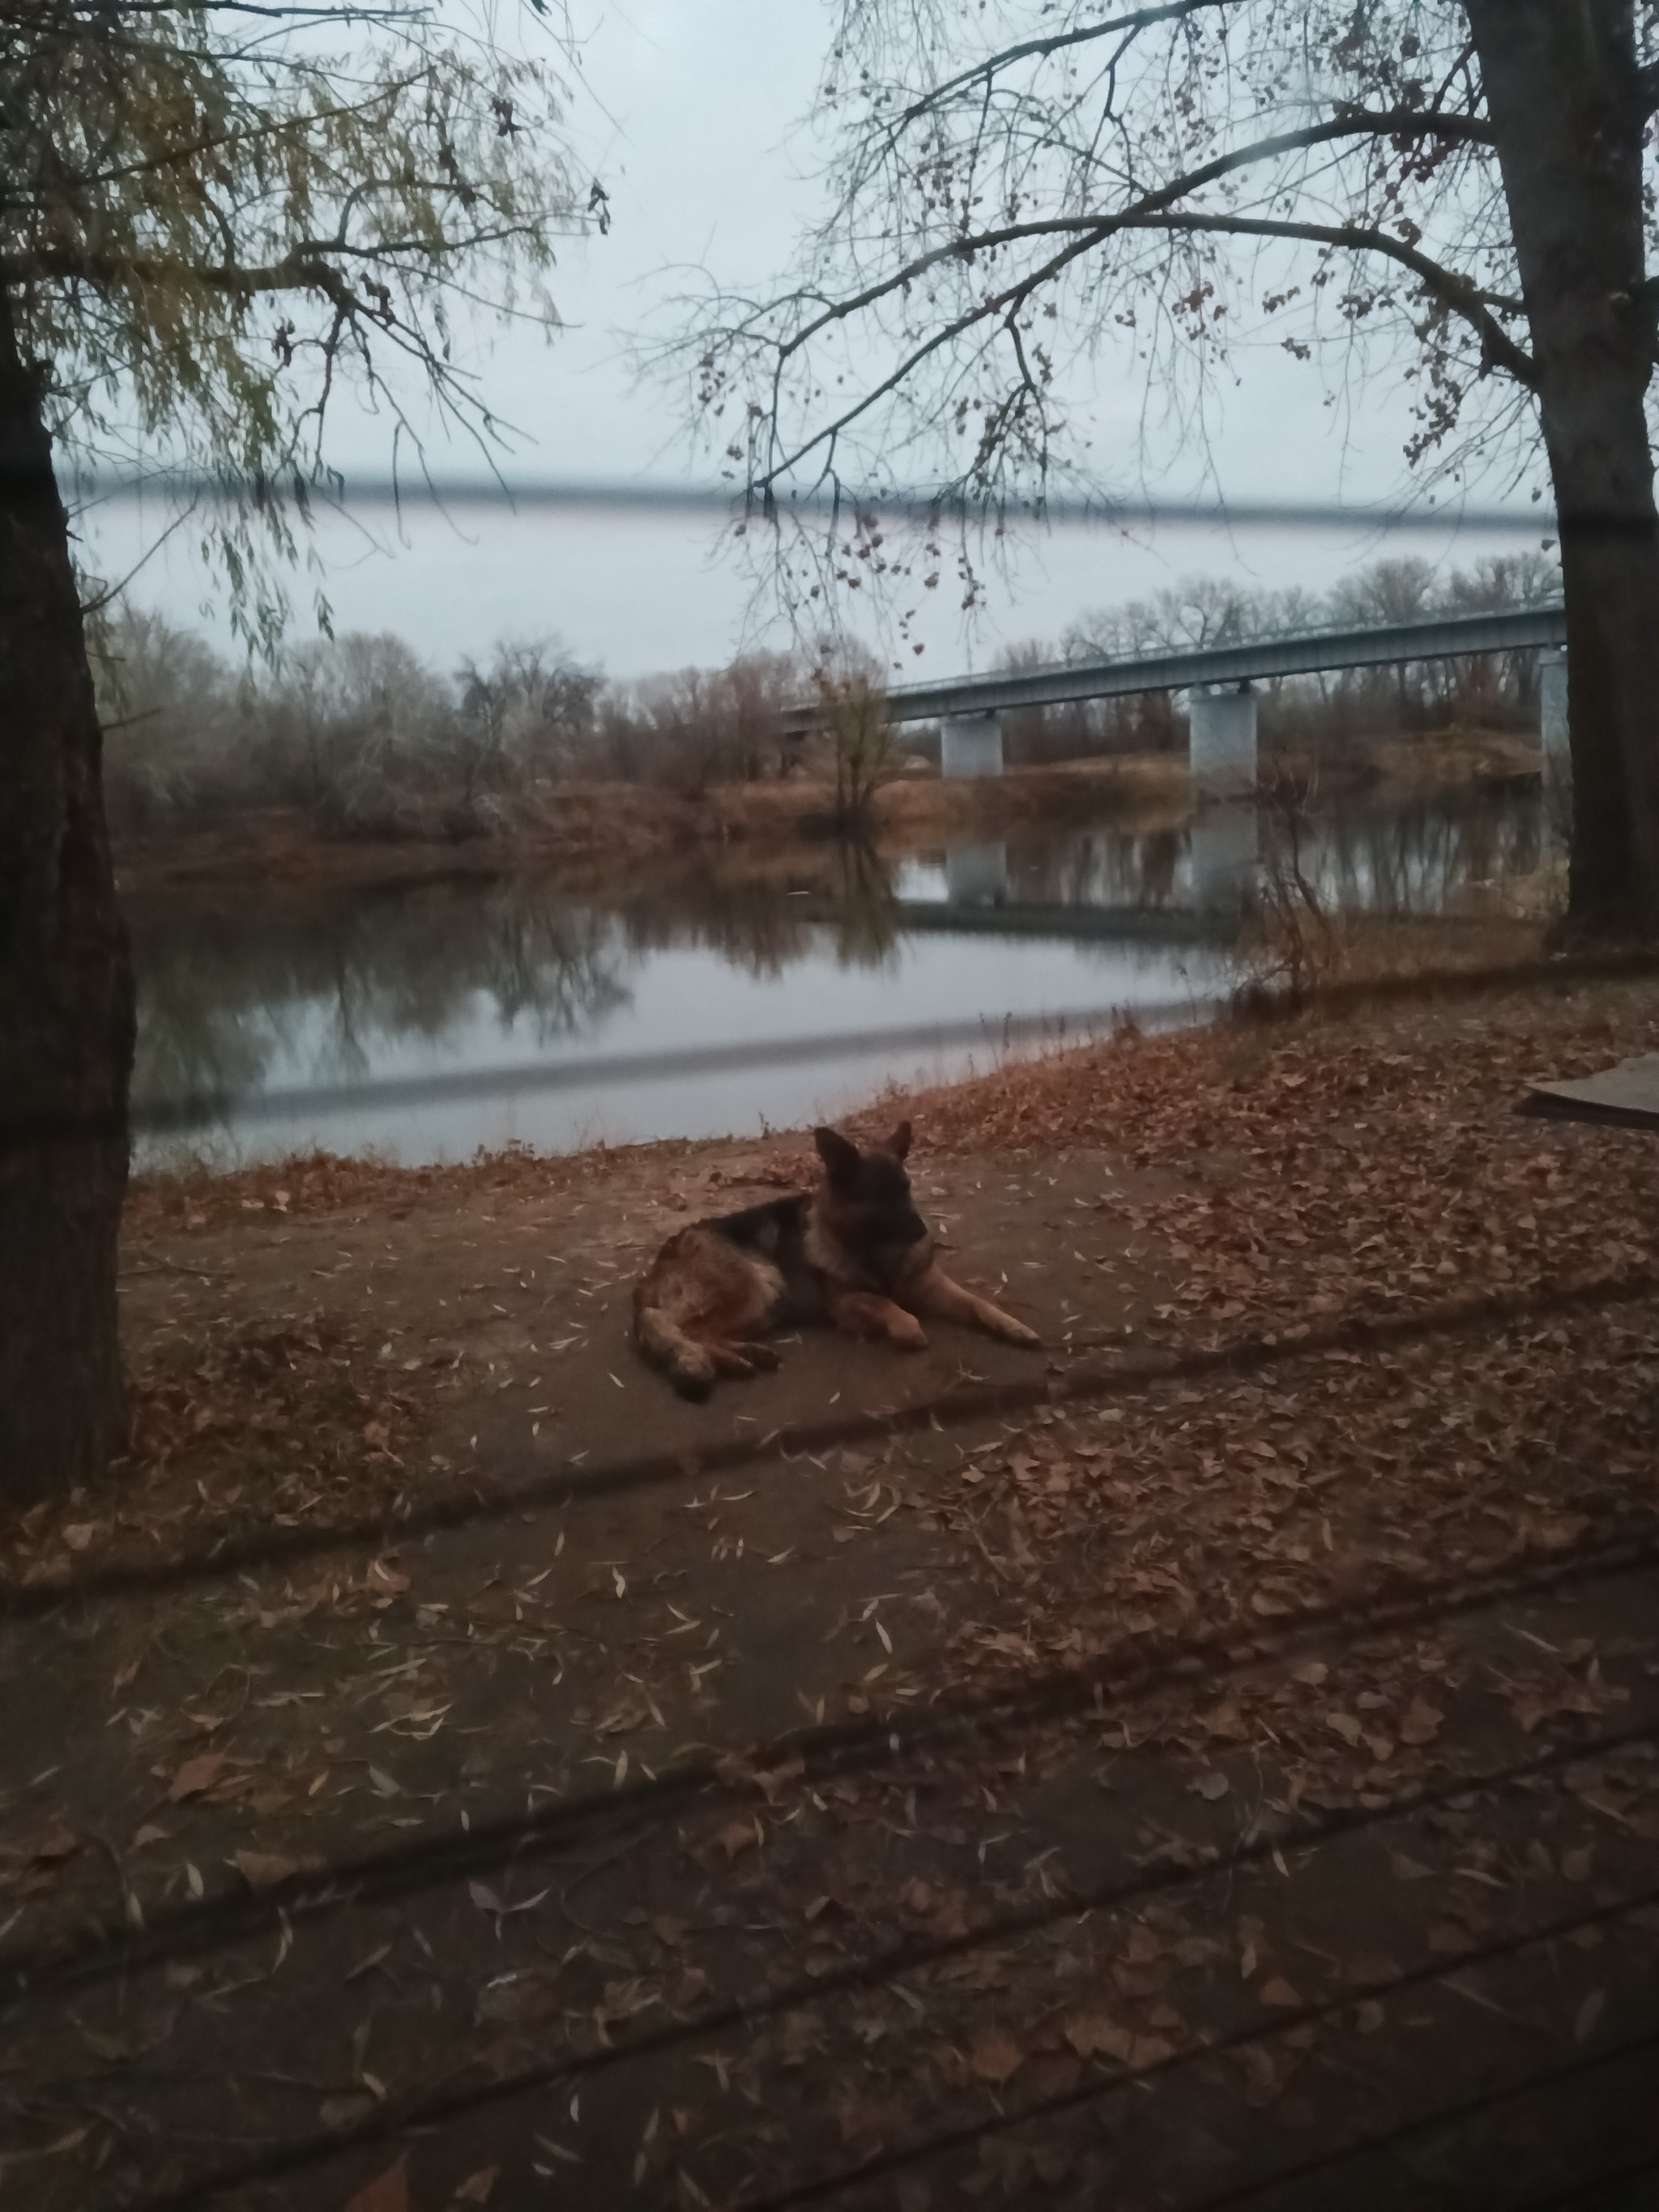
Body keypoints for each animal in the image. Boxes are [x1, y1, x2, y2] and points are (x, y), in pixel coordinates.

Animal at [637, 1123, 1039, 1397]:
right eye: (879, 1195)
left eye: (906, 1190)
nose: (923, 1232)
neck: (877, 1251)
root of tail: (655, 1270)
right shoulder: (844, 1304)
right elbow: (886, 1304)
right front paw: (906, 1328)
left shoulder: (933, 1286)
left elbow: (978, 1303)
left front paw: (1013, 1325)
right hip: (759, 1282)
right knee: (685, 1329)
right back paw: (734, 1359)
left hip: (765, 1304)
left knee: (703, 1332)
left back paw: (746, 1356)